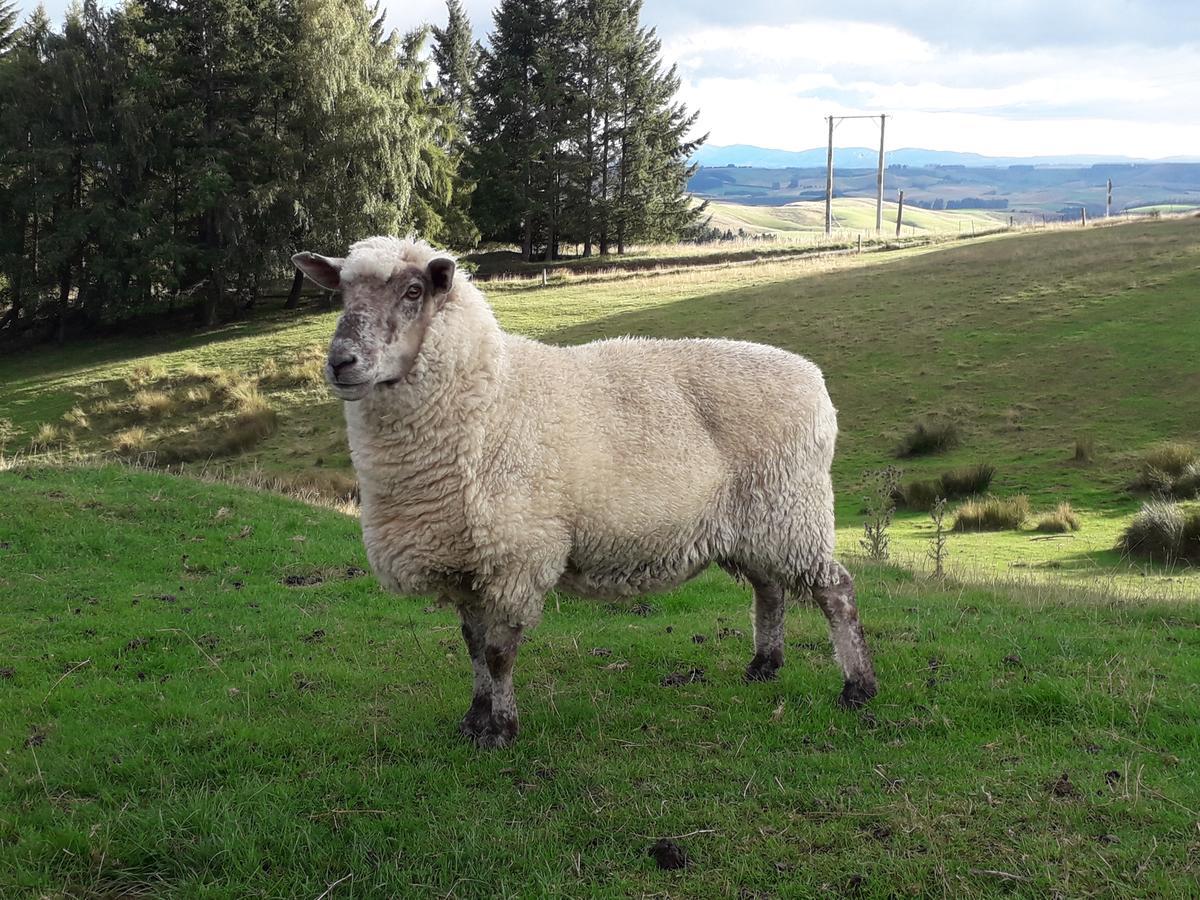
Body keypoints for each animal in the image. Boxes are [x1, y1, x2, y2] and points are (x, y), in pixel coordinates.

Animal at [290, 236, 873, 748]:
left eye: (413, 291)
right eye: (341, 292)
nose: (340, 362)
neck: (490, 396)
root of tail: (813, 379)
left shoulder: (518, 554)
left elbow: (498, 653)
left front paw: (501, 731)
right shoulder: (466, 559)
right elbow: (473, 648)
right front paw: (474, 721)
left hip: (791, 508)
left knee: (835, 590)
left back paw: (857, 688)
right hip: (750, 521)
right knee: (769, 588)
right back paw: (763, 667)